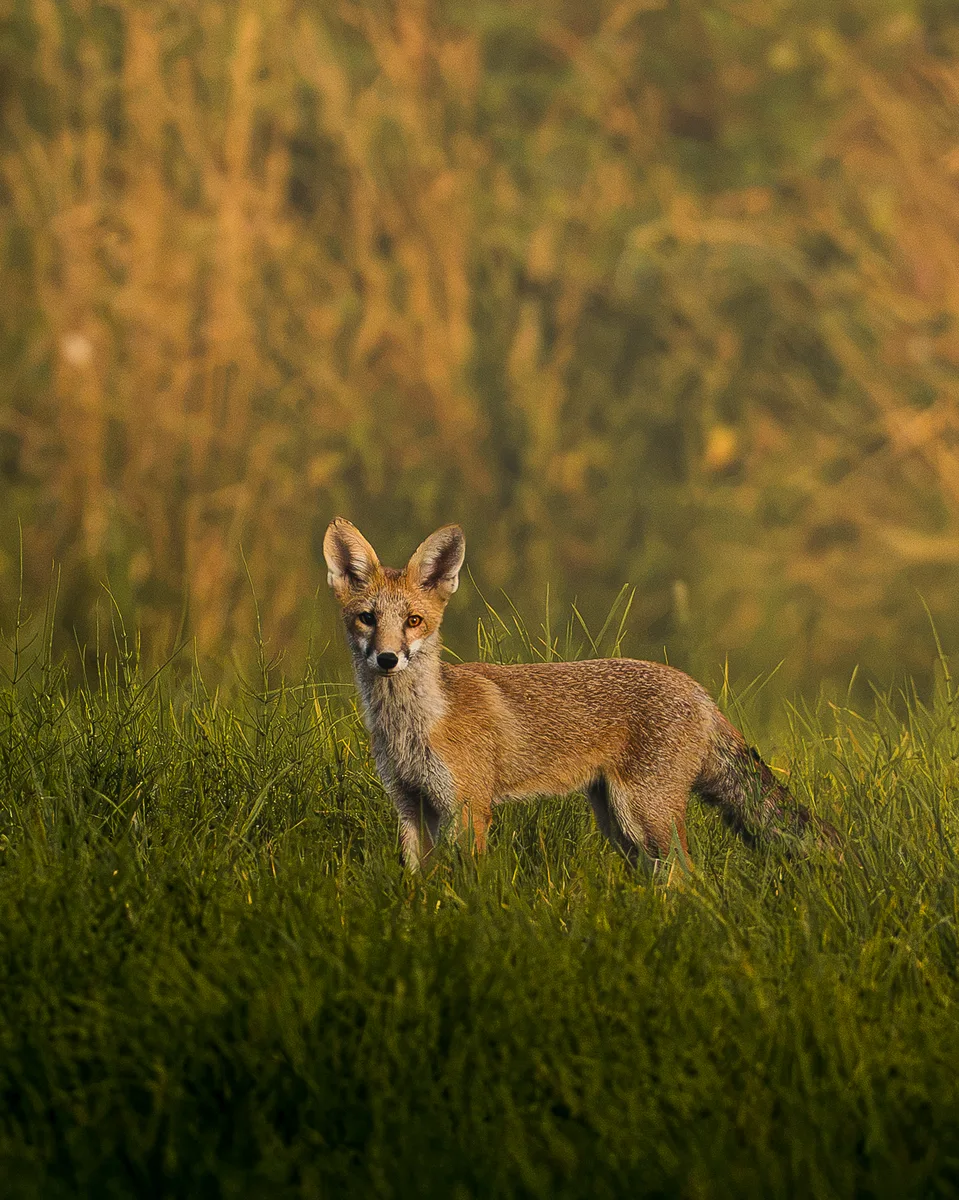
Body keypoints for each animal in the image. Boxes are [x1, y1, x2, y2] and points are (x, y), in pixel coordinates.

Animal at [324, 518, 825, 871]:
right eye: (367, 618)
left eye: (413, 621)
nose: (387, 659)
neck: (413, 726)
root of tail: (699, 690)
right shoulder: (411, 808)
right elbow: (418, 889)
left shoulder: (468, 809)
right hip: (620, 825)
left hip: (644, 815)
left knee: (689, 880)